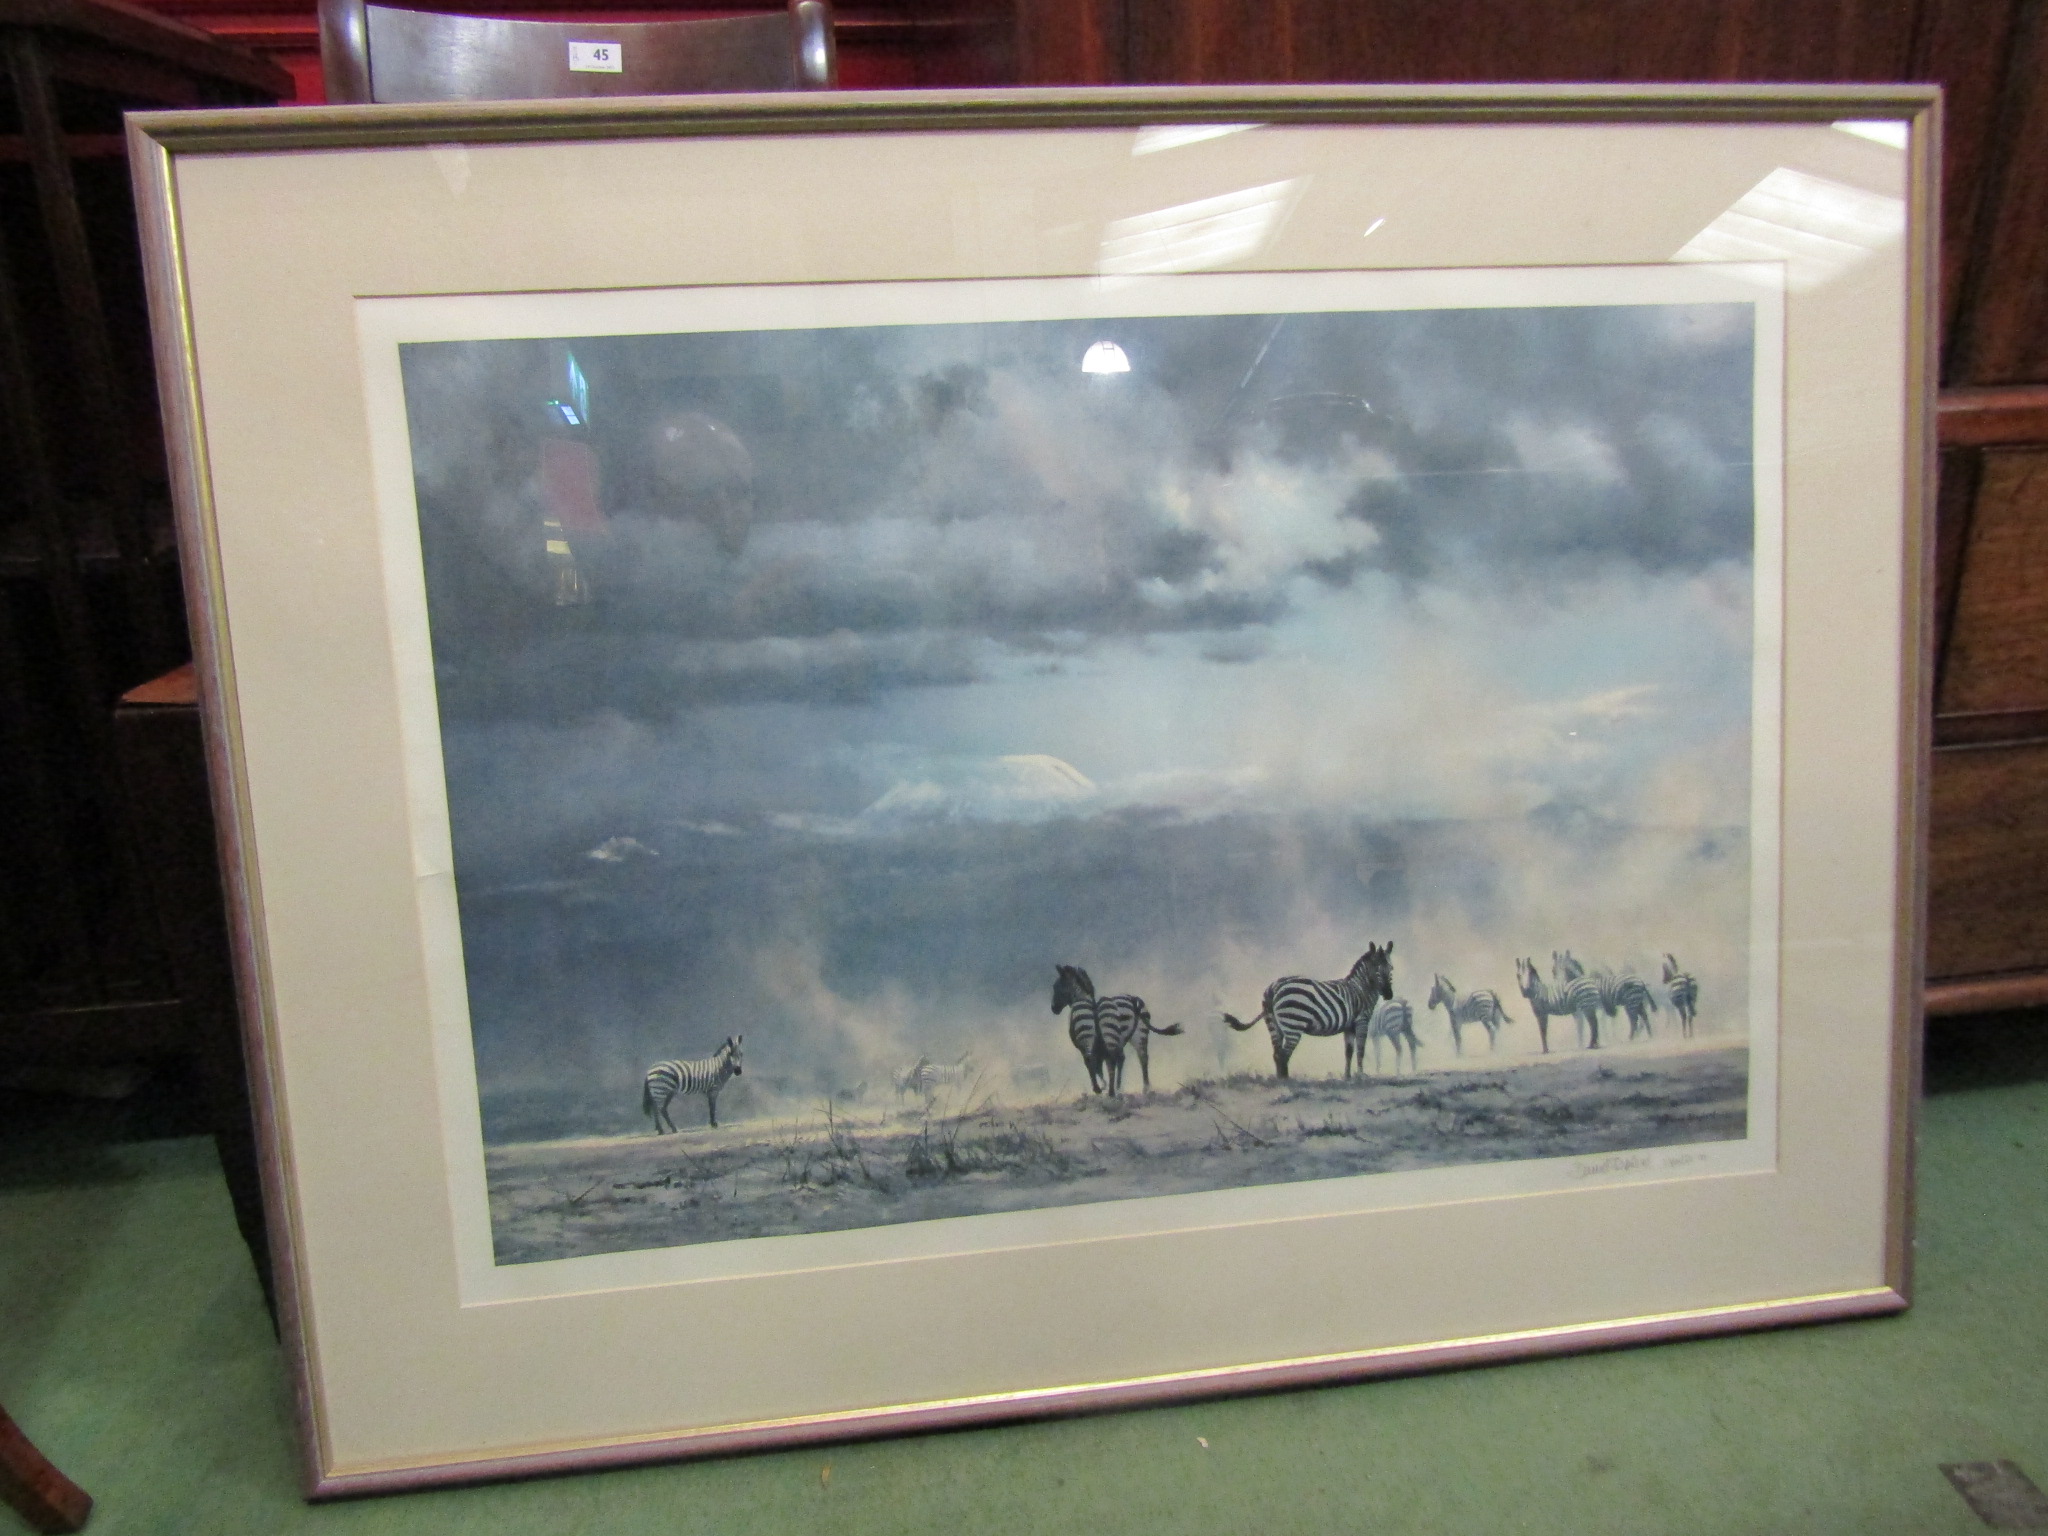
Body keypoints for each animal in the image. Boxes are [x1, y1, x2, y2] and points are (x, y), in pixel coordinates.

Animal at [1220, 937, 1400, 1081]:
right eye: (1377, 969)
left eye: (1391, 969)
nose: (1388, 994)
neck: (1361, 988)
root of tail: (1274, 988)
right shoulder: (1362, 1021)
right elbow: (1360, 1050)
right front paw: (1360, 1076)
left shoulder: (1349, 1026)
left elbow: (1348, 1052)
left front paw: (1348, 1077)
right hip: (1293, 1024)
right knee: (1284, 1054)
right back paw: (1287, 1081)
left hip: (1273, 1024)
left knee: (1277, 1053)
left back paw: (1280, 1080)